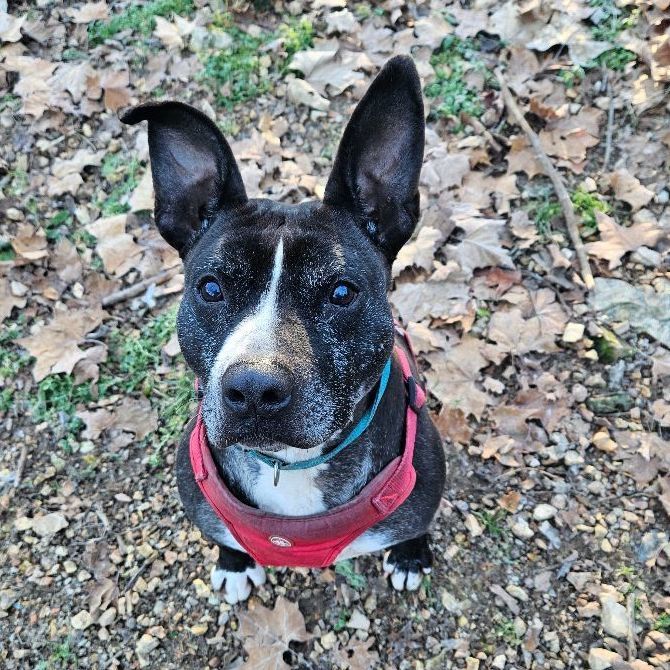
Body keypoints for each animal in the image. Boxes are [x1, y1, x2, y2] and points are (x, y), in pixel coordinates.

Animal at [122, 55, 446, 608]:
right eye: (211, 288)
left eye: (342, 292)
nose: (253, 389)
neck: (290, 465)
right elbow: (226, 539)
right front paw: (233, 563)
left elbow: (414, 527)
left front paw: (410, 555)